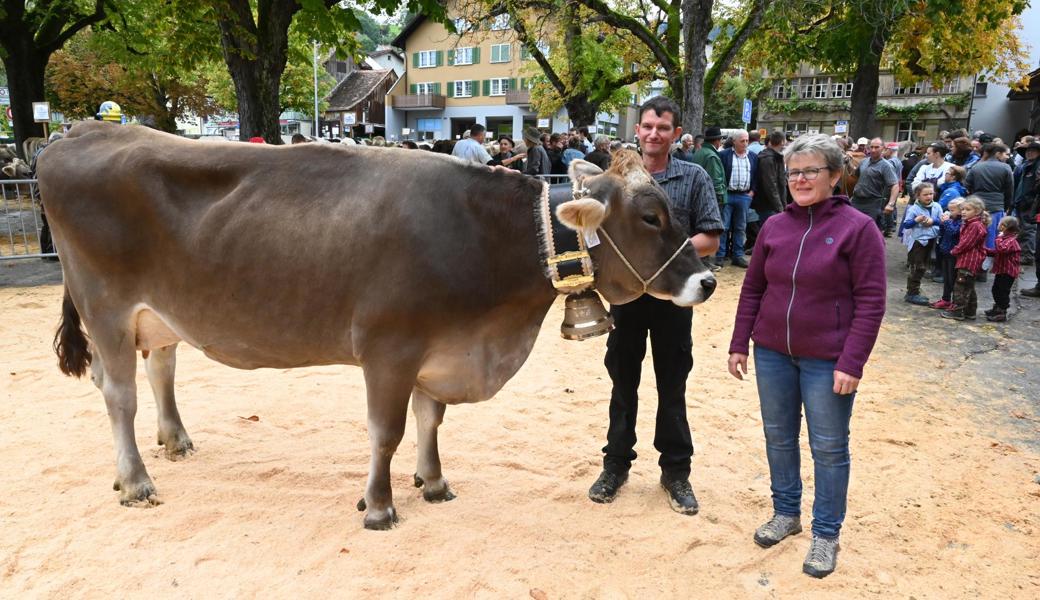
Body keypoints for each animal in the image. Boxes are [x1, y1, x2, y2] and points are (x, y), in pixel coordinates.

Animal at [42, 120, 723, 528]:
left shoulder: (439, 347)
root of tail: (79, 132)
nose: (708, 282)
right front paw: (379, 505)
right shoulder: (389, 349)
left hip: (157, 315)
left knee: (160, 366)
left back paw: (175, 440)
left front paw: (434, 481)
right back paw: (136, 479)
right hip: (105, 307)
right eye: (650, 216)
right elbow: (386, 432)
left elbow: (430, 420)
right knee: (118, 394)